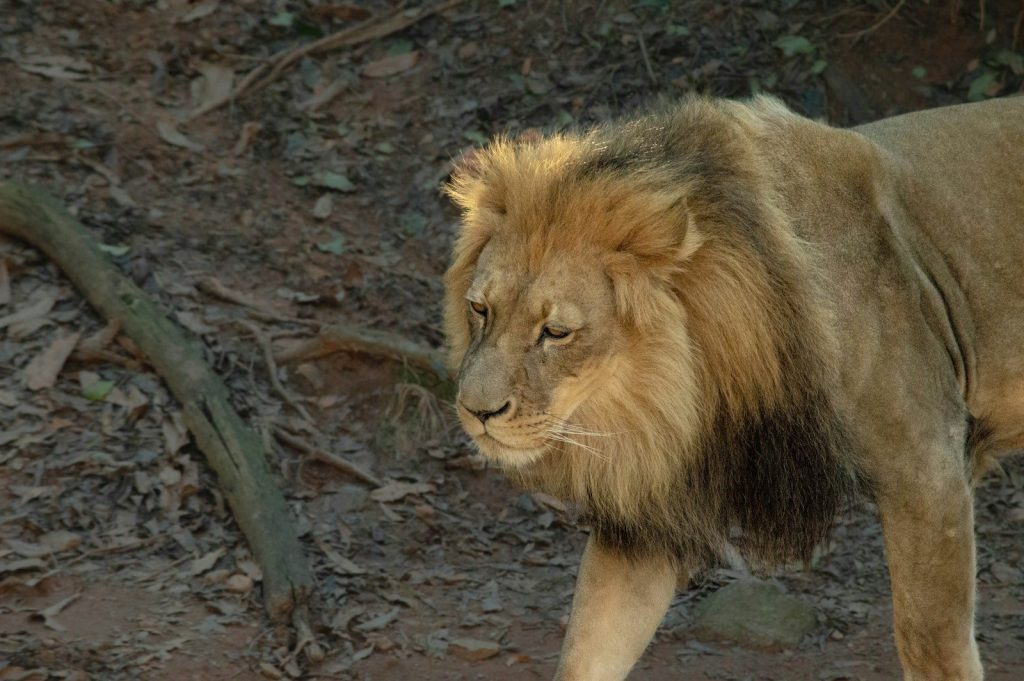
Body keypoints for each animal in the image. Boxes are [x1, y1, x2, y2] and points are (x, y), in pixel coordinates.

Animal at [443, 94, 1024, 680]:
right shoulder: (652, 519)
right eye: (480, 310)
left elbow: (933, 644)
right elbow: (590, 643)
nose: (475, 411)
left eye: (556, 332)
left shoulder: (928, 474)